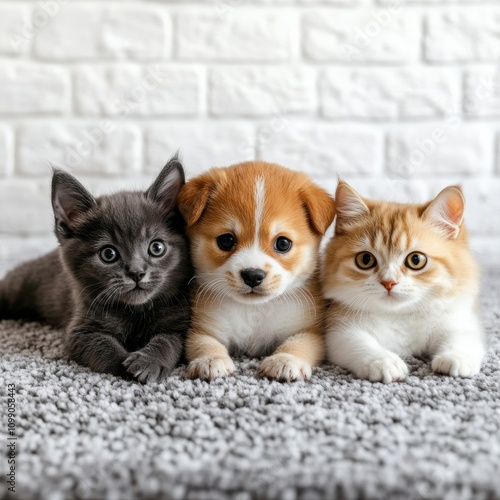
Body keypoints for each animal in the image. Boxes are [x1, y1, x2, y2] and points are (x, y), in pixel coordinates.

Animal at [0, 154, 191, 380]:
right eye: (108, 254)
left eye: (157, 247)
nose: (137, 273)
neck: (135, 311)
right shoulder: (80, 329)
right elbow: (103, 346)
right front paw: (124, 365)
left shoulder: (181, 324)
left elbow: (169, 341)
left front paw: (148, 361)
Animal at [177, 162, 336, 380]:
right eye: (226, 240)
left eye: (283, 243)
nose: (253, 275)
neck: (254, 310)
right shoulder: (203, 329)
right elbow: (205, 343)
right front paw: (210, 360)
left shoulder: (310, 331)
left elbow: (297, 344)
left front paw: (285, 360)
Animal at [322, 182, 486, 384]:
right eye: (365, 260)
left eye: (416, 260)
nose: (388, 282)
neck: (401, 314)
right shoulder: (339, 329)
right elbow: (358, 343)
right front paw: (384, 362)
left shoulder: (459, 319)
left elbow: (463, 338)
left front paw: (455, 357)